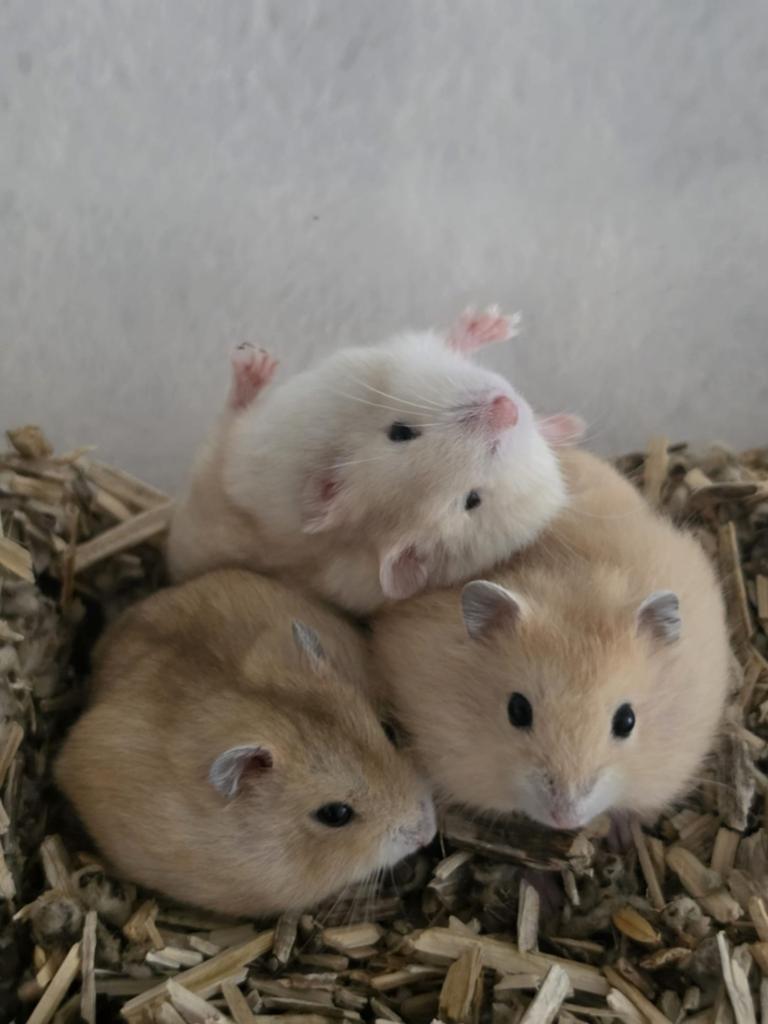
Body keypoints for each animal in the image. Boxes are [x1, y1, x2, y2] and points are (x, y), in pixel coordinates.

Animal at [167, 309, 583, 615]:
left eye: (472, 500)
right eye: (400, 432)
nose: (507, 408)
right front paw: (499, 321)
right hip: (226, 452)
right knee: (231, 415)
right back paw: (255, 361)